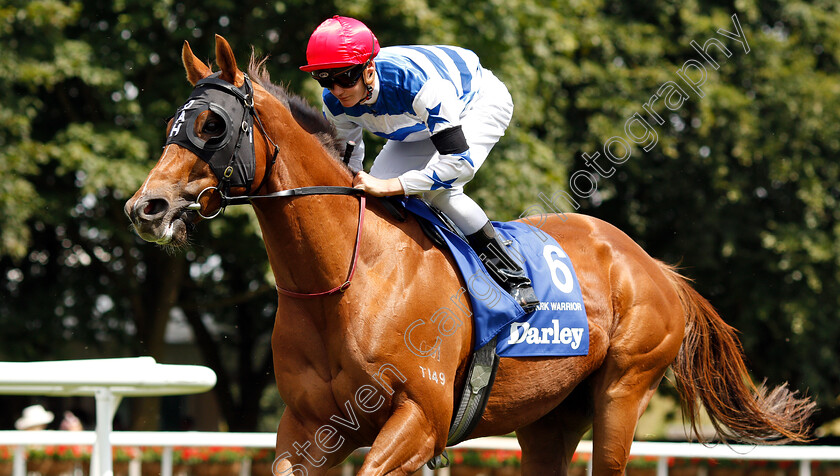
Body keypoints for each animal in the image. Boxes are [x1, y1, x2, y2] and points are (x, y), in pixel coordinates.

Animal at [124, 35, 812, 474]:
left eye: (212, 125)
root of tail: (653, 266)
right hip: (549, 418)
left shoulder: (420, 420)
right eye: (172, 124)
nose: (145, 207)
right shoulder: (307, 427)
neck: (345, 278)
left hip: (623, 392)